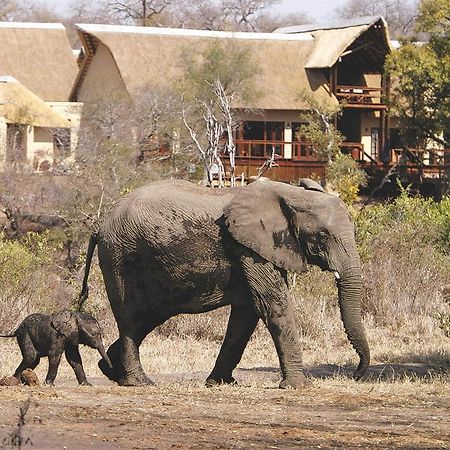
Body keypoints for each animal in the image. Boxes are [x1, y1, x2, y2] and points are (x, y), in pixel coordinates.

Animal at [80, 178, 370, 386]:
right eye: (322, 236)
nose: (355, 375)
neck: (290, 194)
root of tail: (99, 226)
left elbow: (246, 314)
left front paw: (220, 383)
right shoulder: (248, 248)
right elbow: (273, 305)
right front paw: (299, 386)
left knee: (145, 318)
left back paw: (112, 372)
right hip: (120, 259)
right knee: (130, 319)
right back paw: (138, 383)